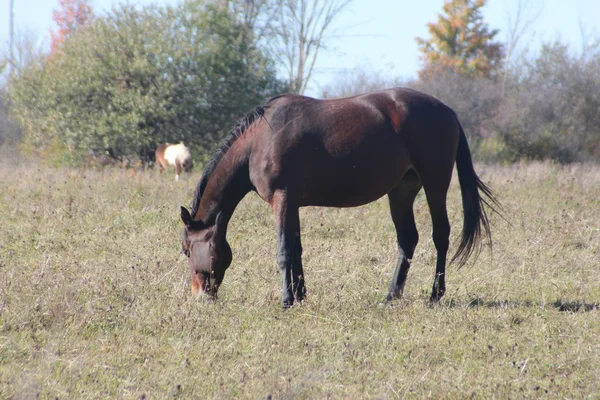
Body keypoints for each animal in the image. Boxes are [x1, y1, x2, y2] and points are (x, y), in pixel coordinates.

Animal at [180, 89, 500, 310]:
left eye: (185, 250)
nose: (199, 296)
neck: (260, 140)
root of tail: (447, 110)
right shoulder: (293, 204)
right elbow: (296, 249)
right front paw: (300, 295)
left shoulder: (282, 200)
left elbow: (284, 251)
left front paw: (286, 300)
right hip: (401, 192)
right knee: (407, 240)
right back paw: (391, 295)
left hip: (435, 185)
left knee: (441, 236)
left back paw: (435, 294)